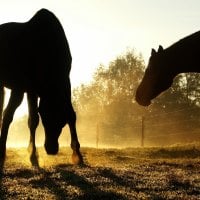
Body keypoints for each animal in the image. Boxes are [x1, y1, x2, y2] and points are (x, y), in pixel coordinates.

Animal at [0, 8, 82, 165]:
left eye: (61, 122)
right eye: (45, 118)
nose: (51, 149)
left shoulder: (66, 83)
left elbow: (72, 114)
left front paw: (77, 154)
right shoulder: (30, 88)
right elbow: (33, 120)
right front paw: (33, 155)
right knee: (7, 114)